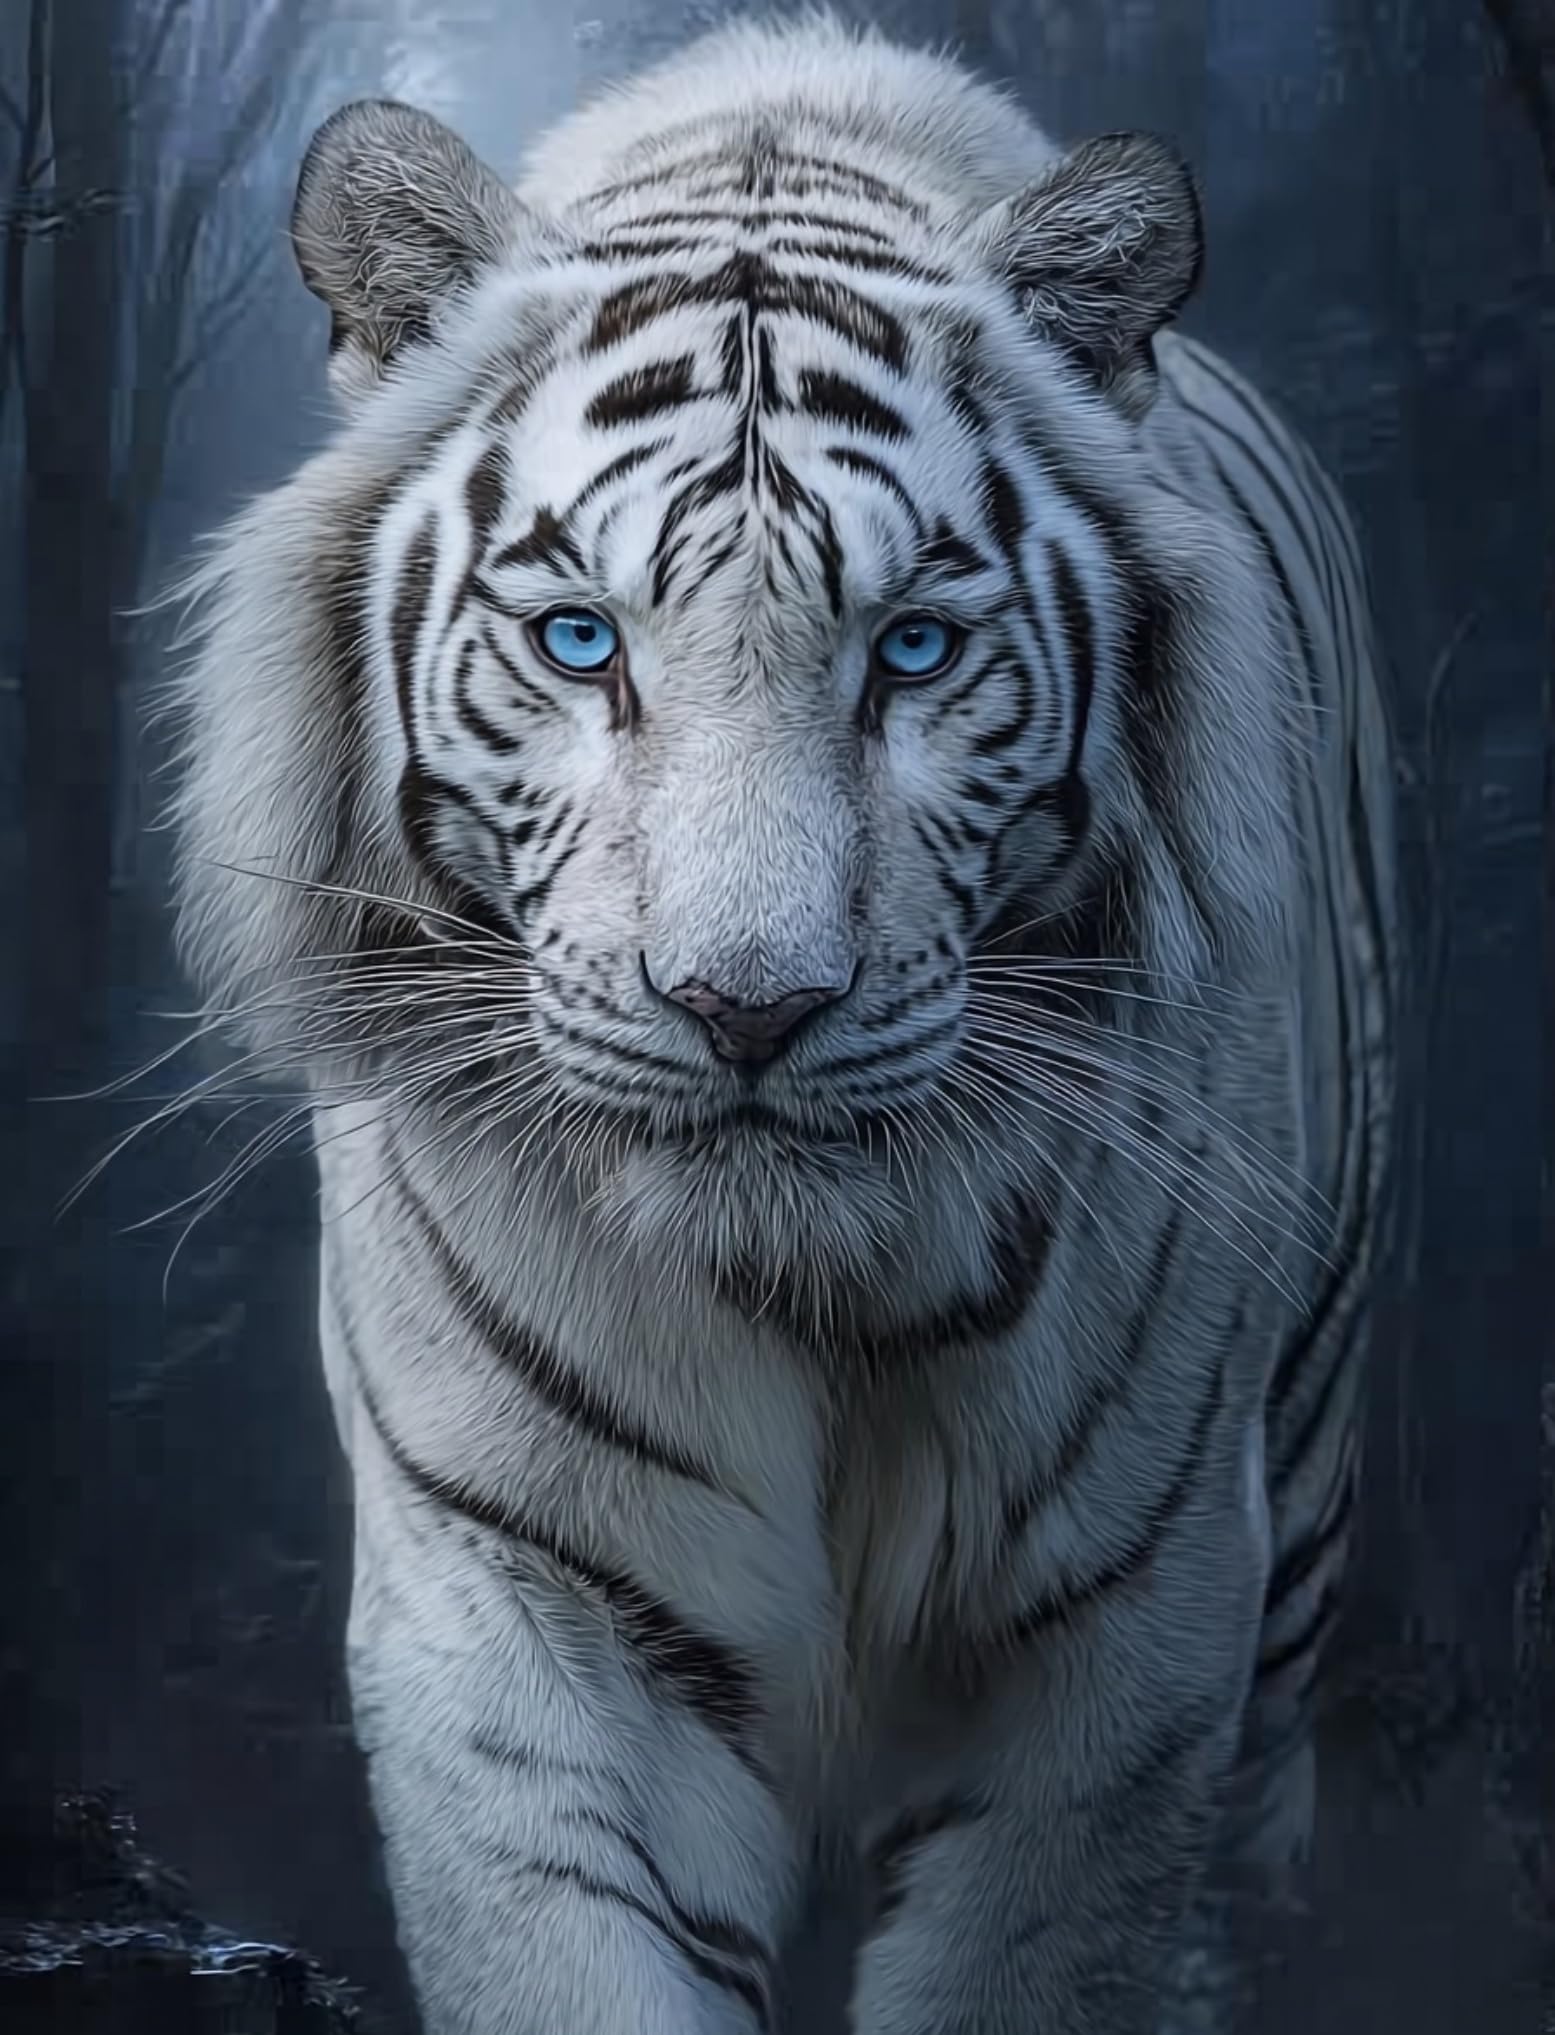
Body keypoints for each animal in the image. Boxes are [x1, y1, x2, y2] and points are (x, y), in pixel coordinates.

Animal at [164, 12, 1397, 2034]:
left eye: (912, 649)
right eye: (580, 642)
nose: (748, 1010)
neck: (804, 1306)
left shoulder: (1125, 1638)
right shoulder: (521, 1600)